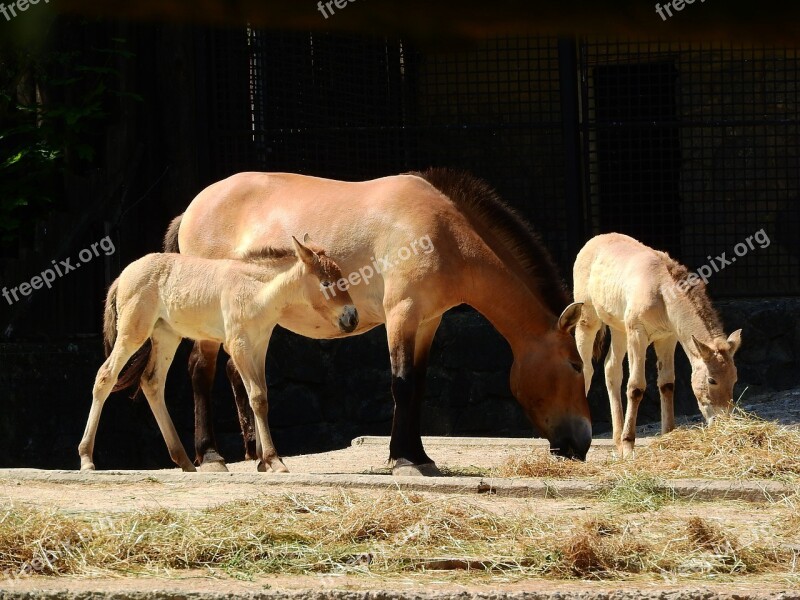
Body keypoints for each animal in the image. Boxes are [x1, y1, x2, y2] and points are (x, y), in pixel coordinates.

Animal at [76, 237, 354, 472]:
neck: (255, 291)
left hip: (166, 337)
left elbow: (261, 395)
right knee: (105, 376)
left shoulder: (259, 346)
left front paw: (263, 461)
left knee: (152, 382)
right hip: (132, 333)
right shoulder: (238, 345)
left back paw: (185, 461)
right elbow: (257, 398)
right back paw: (87, 459)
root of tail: (122, 275)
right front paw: (274, 461)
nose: (351, 317)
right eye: (326, 283)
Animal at [166, 168, 592, 474]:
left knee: (236, 374)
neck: (444, 234)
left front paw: (419, 456)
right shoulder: (401, 313)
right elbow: (401, 384)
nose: (583, 442)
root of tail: (190, 209)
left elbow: (417, 386)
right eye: (575, 365)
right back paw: (211, 456)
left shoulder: (428, 322)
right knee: (201, 372)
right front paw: (403, 460)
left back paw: (257, 453)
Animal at [572, 232, 740, 458]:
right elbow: (636, 386)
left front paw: (667, 434)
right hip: (588, 321)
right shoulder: (638, 334)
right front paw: (628, 446)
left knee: (611, 369)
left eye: (735, 379)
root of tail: (594, 240)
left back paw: (616, 442)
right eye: (712, 380)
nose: (724, 421)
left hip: (619, 329)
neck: (662, 290)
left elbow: (667, 383)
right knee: (586, 369)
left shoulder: (667, 338)